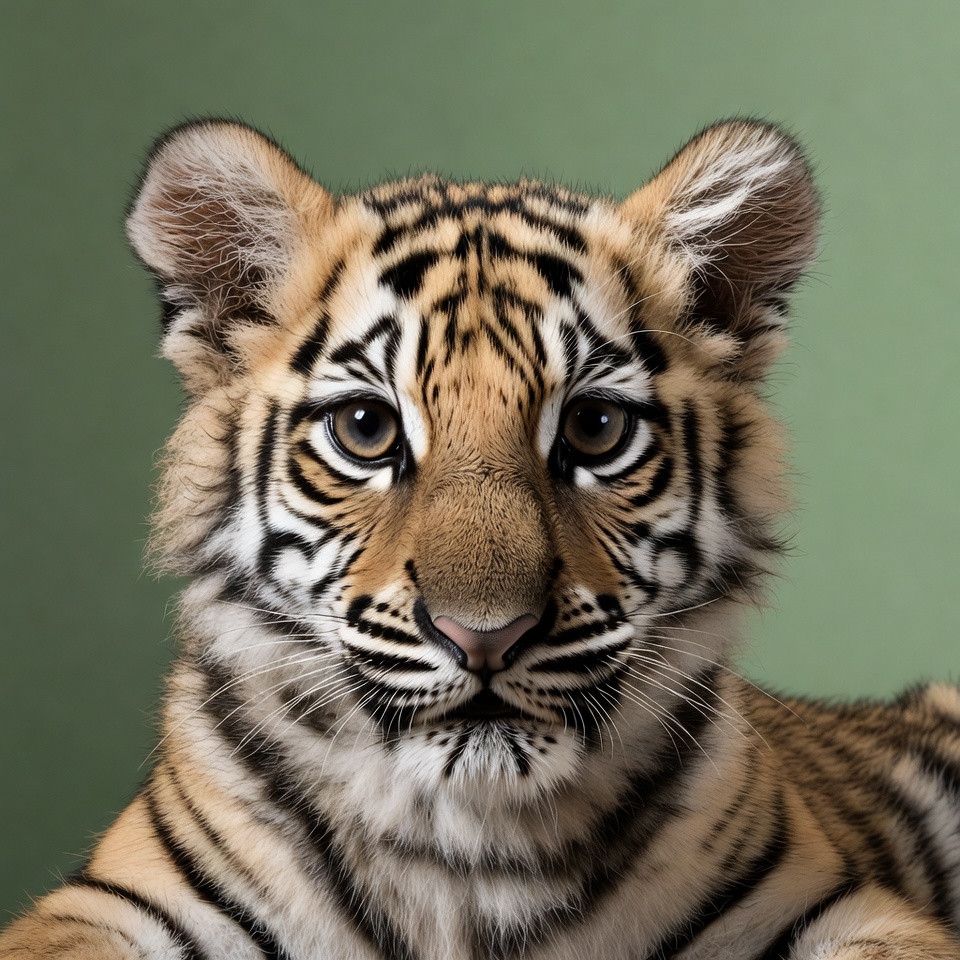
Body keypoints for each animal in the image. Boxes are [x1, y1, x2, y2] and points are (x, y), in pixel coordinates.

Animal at [3, 116, 960, 960]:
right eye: (365, 428)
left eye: (596, 428)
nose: (485, 636)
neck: (467, 858)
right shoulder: (104, 905)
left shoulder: (836, 905)